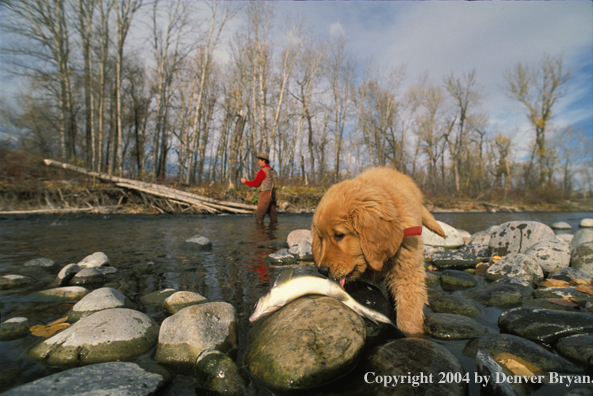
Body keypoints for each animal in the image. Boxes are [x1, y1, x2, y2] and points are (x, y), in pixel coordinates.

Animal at [310, 167, 444, 338]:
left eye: (339, 235)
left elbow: (409, 314)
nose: (322, 270)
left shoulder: (407, 271)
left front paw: (413, 334)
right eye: (321, 238)